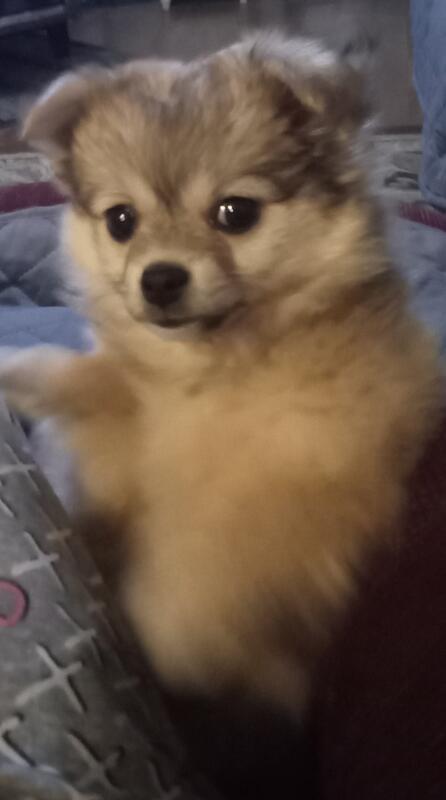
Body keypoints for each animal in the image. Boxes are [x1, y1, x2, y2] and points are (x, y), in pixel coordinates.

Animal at [0, 35, 442, 724]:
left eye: (236, 213)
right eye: (121, 221)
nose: (159, 278)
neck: (214, 376)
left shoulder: (315, 474)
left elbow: (214, 567)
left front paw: (161, 632)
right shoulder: (125, 423)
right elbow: (97, 378)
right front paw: (18, 370)